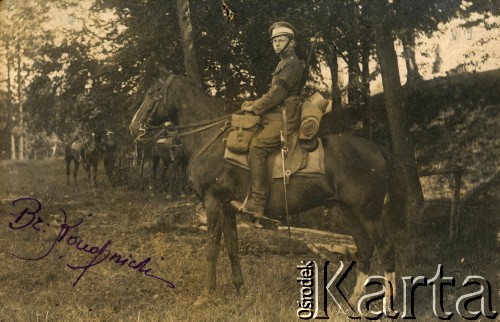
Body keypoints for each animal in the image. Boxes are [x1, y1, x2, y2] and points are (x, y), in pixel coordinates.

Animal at [129, 73, 406, 306]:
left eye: (153, 92)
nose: (134, 127)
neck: (211, 139)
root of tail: (378, 149)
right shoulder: (227, 208)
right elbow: (232, 248)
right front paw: (239, 288)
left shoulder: (213, 202)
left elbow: (211, 249)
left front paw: (207, 295)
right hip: (347, 210)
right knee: (365, 249)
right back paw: (353, 300)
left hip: (368, 212)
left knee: (385, 248)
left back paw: (387, 303)